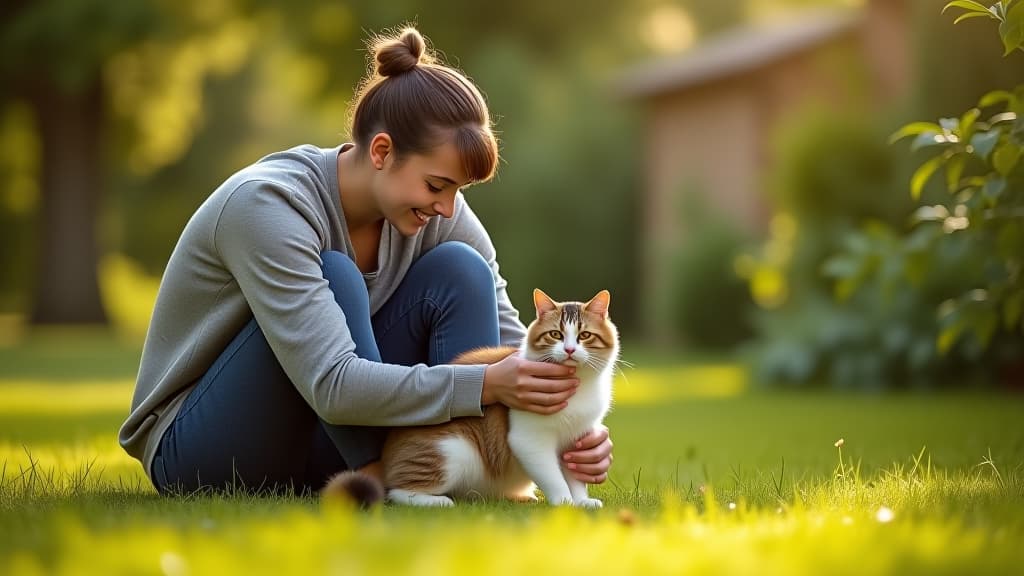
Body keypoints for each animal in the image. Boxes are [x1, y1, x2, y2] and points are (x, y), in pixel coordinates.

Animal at [323, 286, 618, 506]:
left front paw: (581, 501)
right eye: (556, 334)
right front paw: (565, 503)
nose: (569, 350)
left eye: (584, 335)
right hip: (454, 451)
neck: (579, 387)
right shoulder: (529, 441)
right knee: (396, 492)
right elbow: (554, 477)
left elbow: (576, 476)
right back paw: (438, 501)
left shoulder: (578, 439)